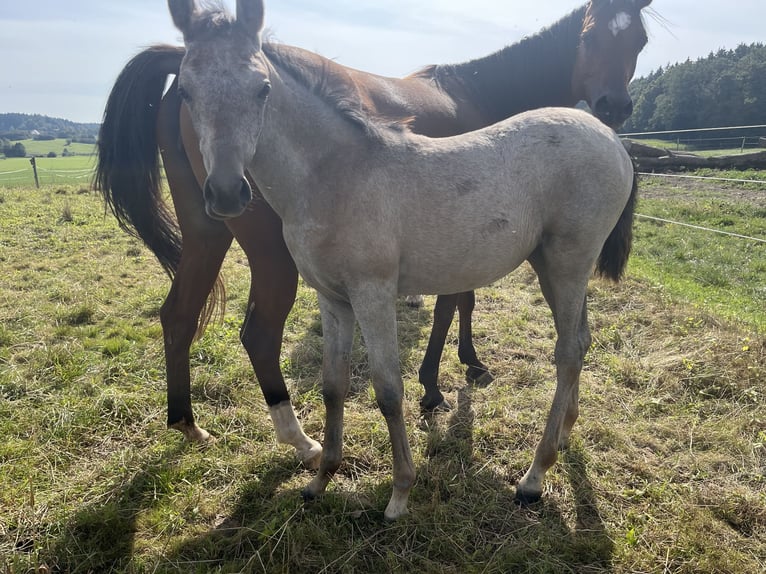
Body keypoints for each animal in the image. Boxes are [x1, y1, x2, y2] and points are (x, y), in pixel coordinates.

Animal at [93, 0, 652, 466]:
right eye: (189, 92)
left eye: (263, 88)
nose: (229, 192)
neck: (340, 168)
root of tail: (608, 137)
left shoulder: (384, 282)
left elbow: (434, 330)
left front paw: (441, 386)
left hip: (566, 262)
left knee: (571, 347)